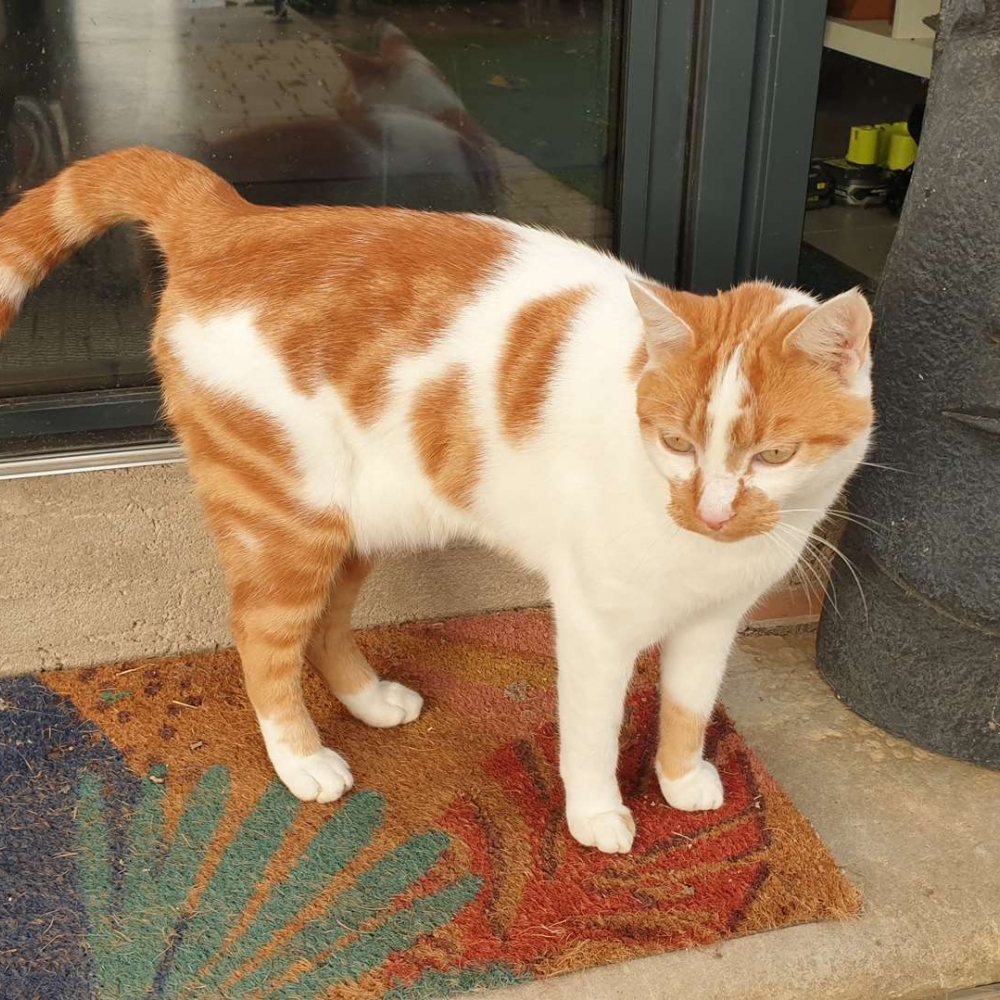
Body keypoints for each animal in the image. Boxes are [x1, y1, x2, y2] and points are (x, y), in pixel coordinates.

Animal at [0, 148, 874, 853]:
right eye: (678, 443)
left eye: (774, 455)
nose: (714, 511)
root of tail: (235, 218)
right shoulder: (595, 625)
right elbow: (592, 734)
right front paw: (597, 815)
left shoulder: (713, 621)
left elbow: (689, 708)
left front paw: (681, 778)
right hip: (288, 520)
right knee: (262, 636)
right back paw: (301, 759)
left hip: (357, 525)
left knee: (326, 624)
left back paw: (368, 699)